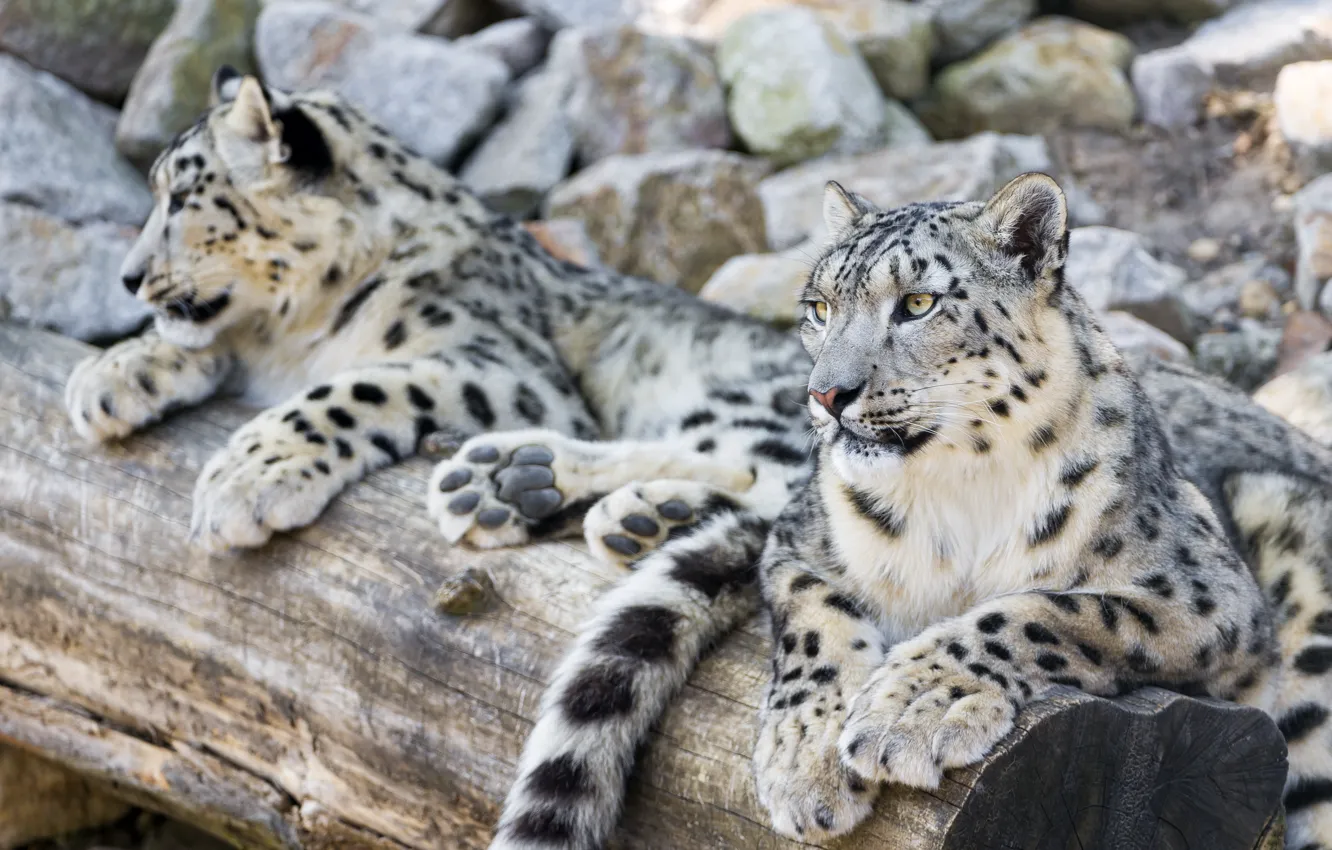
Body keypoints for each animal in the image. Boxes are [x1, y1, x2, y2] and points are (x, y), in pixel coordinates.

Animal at [501, 174, 1332, 850]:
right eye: (819, 307)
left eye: (919, 303)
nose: (826, 394)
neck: (958, 488)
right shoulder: (800, 546)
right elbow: (814, 623)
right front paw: (807, 763)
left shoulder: (1206, 594)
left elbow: (1050, 610)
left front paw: (915, 709)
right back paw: (558, 487)